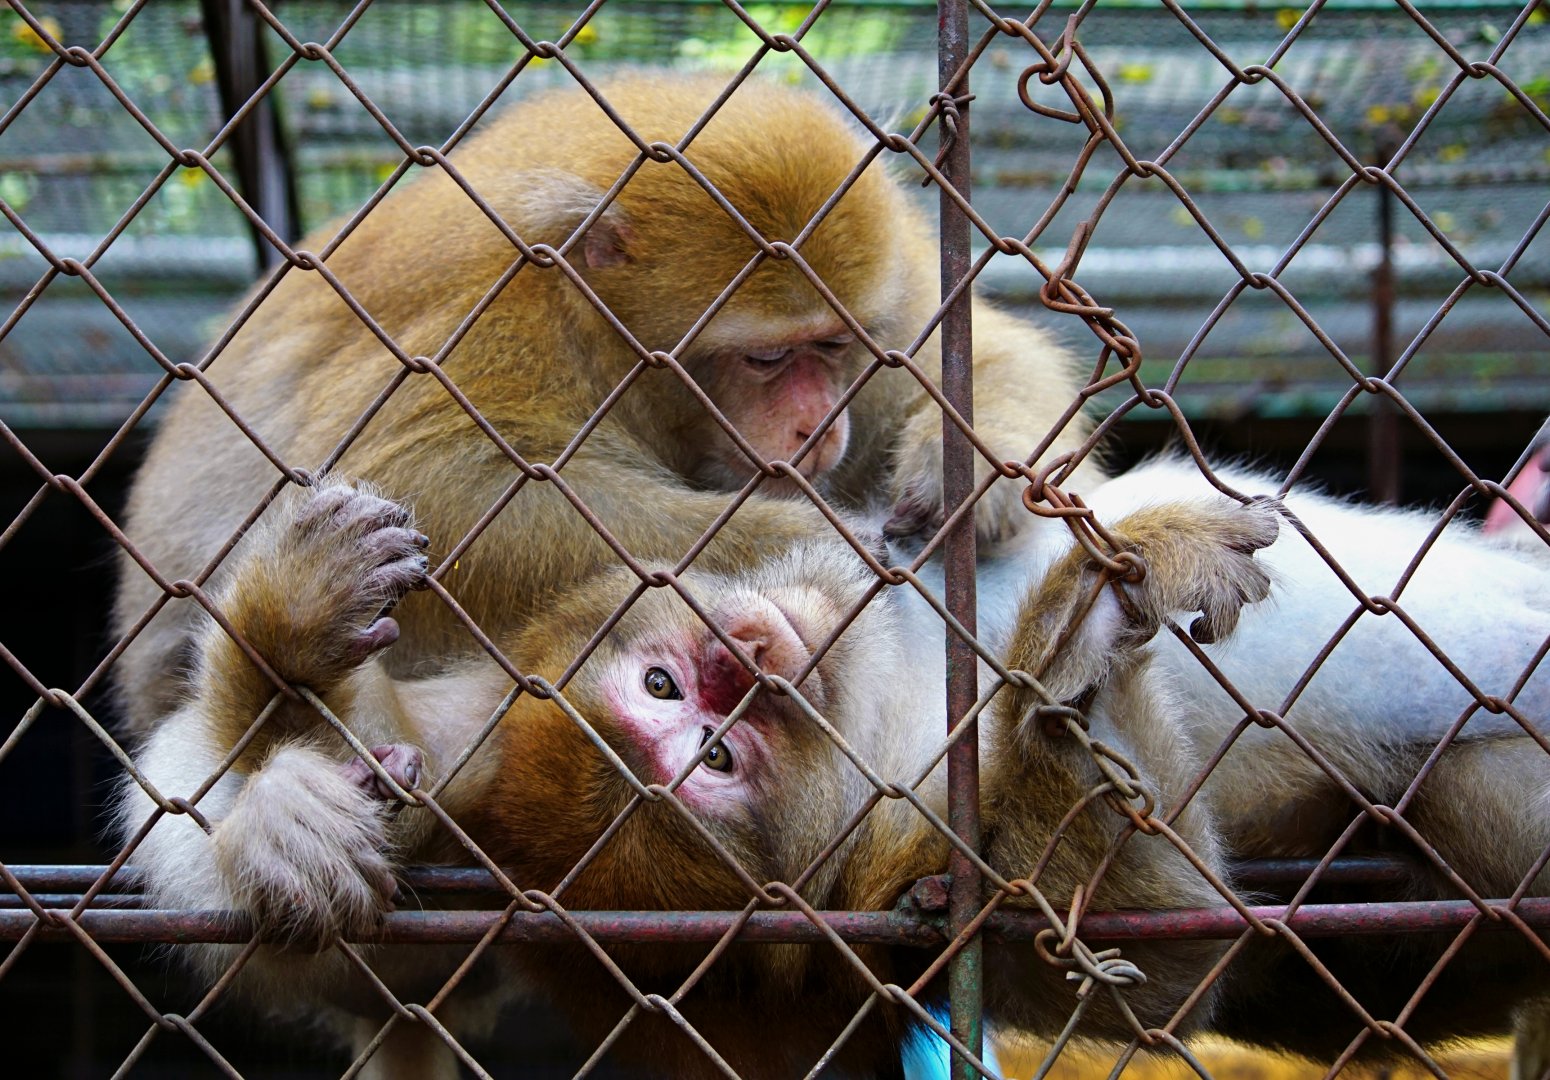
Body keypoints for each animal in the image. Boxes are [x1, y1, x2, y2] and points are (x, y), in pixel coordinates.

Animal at [110, 74, 1096, 741]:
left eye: (831, 348)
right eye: (766, 359)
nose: (820, 424)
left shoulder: (889, 312)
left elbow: (975, 355)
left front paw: (970, 475)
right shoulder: (501, 315)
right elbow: (429, 481)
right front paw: (809, 539)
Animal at [118, 467, 1550, 1077]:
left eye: (669, 693)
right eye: (711, 753)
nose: (751, 659)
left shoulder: (478, 724)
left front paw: (286, 684)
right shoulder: (897, 893)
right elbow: (1163, 954)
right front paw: (1062, 690)